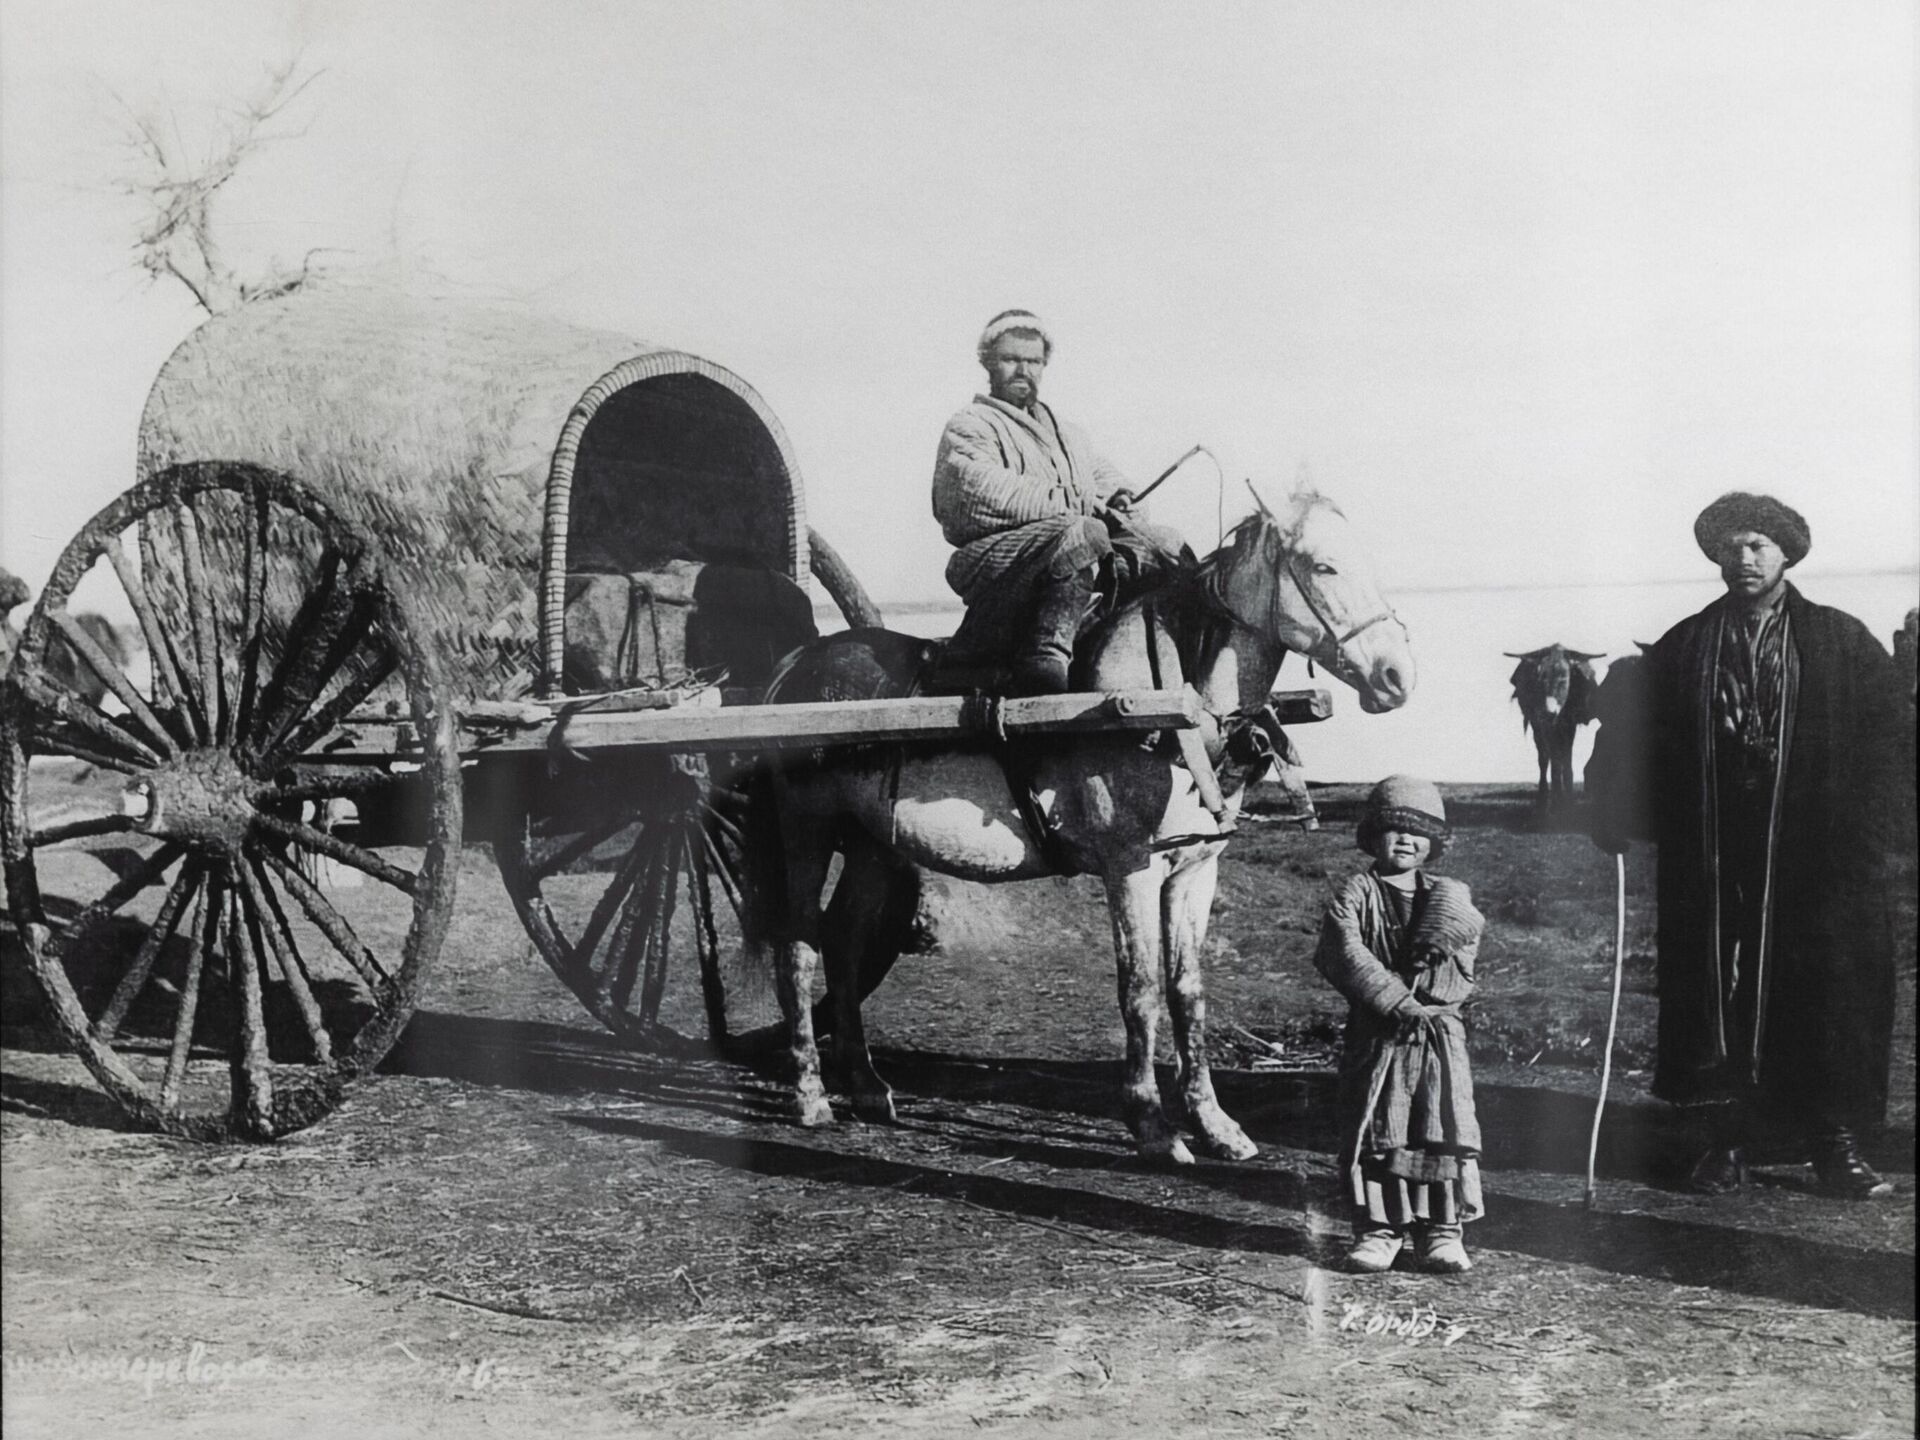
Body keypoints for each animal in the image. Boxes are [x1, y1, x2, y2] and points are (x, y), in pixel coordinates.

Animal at [733, 491, 1413, 1167]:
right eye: (1324, 566)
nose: (1397, 677)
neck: (1169, 703)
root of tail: (797, 665)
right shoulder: (1131, 868)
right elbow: (1140, 989)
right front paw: (1151, 1124)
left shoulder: (1195, 869)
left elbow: (1188, 990)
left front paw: (1214, 1123)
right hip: (806, 832)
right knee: (798, 947)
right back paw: (810, 1094)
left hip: (872, 844)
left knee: (843, 943)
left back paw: (867, 1086)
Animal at [1497, 645, 1605, 817]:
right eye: (1540, 678)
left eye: (1564, 678)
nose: (1549, 712)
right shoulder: (1540, 724)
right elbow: (1548, 759)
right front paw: (1551, 802)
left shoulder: (1569, 725)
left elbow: (1564, 760)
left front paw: (1566, 802)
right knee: (1546, 758)